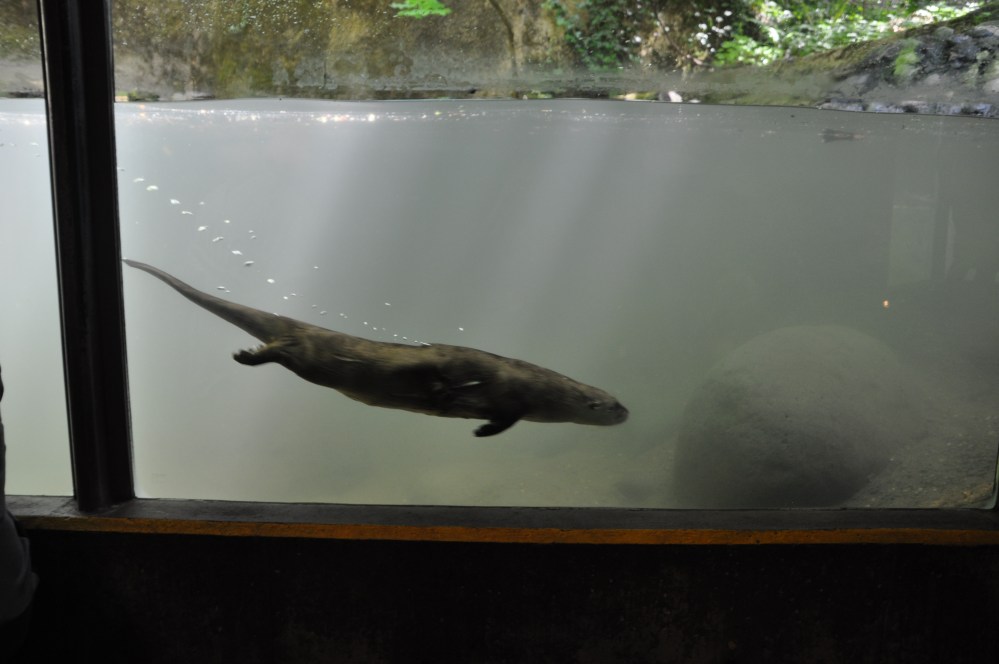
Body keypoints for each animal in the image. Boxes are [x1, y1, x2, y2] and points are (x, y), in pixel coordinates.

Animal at [124, 260, 628, 436]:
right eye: (610, 404)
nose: (628, 412)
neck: (545, 390)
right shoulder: (512, 393)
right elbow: (492, 406)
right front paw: (470, 415)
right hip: (312, 355)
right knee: (285, 349)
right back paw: (247, 355)